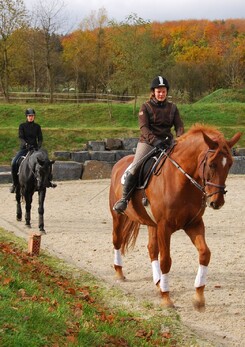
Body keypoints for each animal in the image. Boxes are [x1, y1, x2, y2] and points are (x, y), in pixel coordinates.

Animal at [109, 125, 241, 310]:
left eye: (229, 165)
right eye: (212, 164)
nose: (217, 202)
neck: (183, 182)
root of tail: (120, 163)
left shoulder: (194, 224)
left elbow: (205, 253)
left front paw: (199, 297)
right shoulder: (165, 227)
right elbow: (166, 260)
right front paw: (166, 298)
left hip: (152, 224)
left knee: (151, 249)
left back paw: (158, 281)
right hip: (118, 216)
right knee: (117, 240)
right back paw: (120, 273)